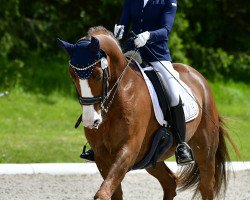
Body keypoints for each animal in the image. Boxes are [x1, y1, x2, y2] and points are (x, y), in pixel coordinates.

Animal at [57, 26, 237, 200]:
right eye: (72, 76)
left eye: (98, 76)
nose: (91, 121)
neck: (118, 97)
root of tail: (198, 77)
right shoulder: (102, 157)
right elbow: (114, 193)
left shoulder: (128, 150)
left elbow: (103, 193)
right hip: (151, 160)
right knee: (170, 183)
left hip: (205, 151)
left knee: (206, 187)